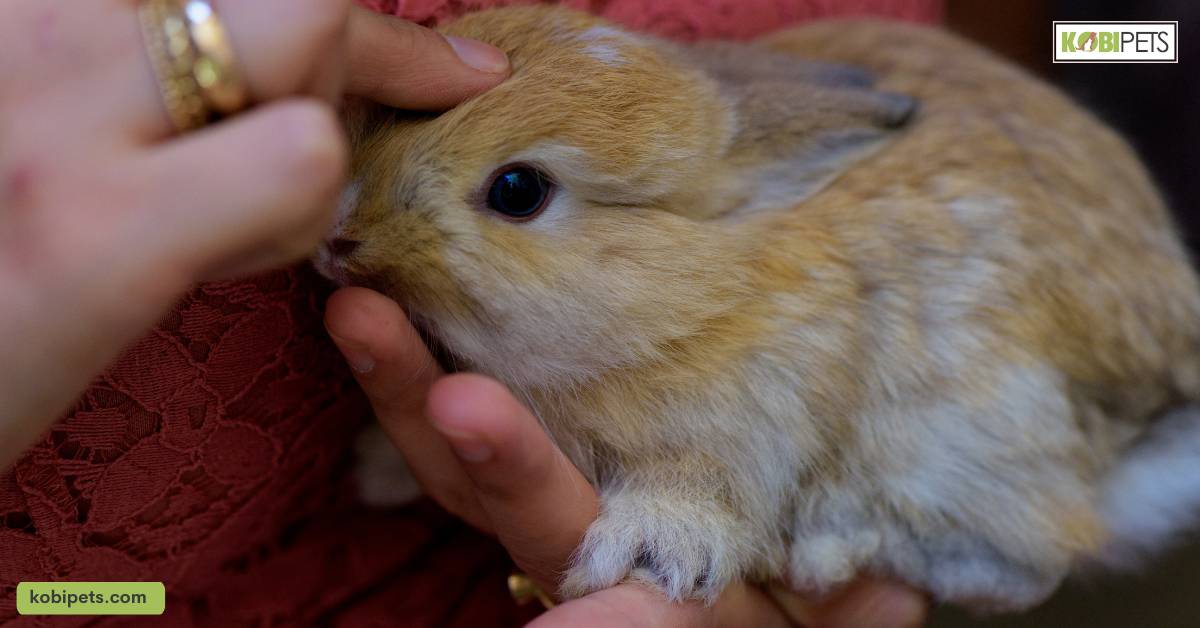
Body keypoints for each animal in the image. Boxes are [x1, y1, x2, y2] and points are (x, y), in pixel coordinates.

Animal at [314, 4, 1200, 614]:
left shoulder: (749, 423)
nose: (337, 235)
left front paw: (652, 552)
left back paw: (828, 552)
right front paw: (377, 468)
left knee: (1031, 562)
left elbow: (696, 487)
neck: (698, 286)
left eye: (517, 191)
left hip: (973, 435)